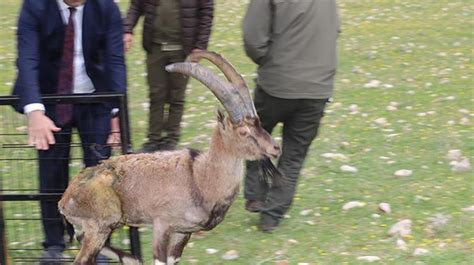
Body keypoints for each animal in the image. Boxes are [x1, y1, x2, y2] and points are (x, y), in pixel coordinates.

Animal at [58, 50, 282, 262]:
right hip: (102, 221)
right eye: (243, 132)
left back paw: (131, 258)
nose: (275, 148)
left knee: (81, 237)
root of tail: (65, 199)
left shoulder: (183, 232)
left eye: (259, 123)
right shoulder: (162, 224)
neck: (200, 177)